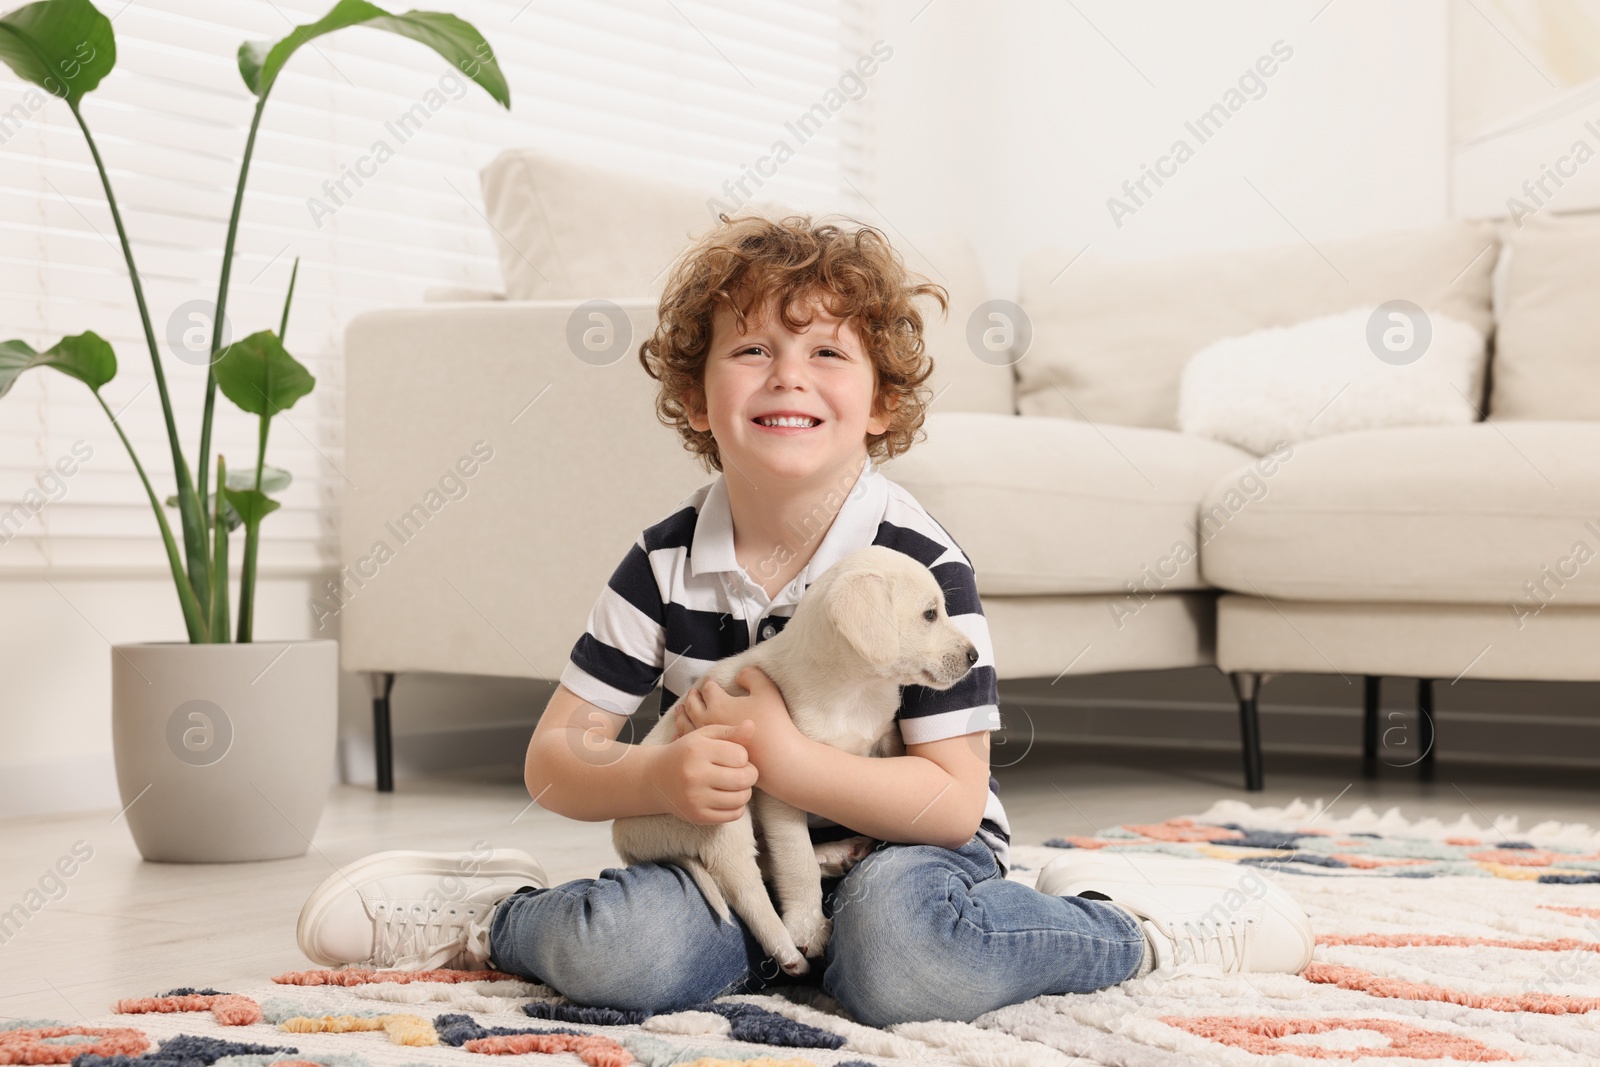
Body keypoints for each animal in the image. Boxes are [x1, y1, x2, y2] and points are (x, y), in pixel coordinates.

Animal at [608, 547, 972, 972]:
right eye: (930, 614)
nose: (974, 655)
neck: (853, 692)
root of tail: (623, 838)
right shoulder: (780, 790)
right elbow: (795, 862)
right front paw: (807, 927)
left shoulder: (884, 738)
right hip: (720, 818)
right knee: (743, 883)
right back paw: (785, 948)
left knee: (765, 863)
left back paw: (837, 853)